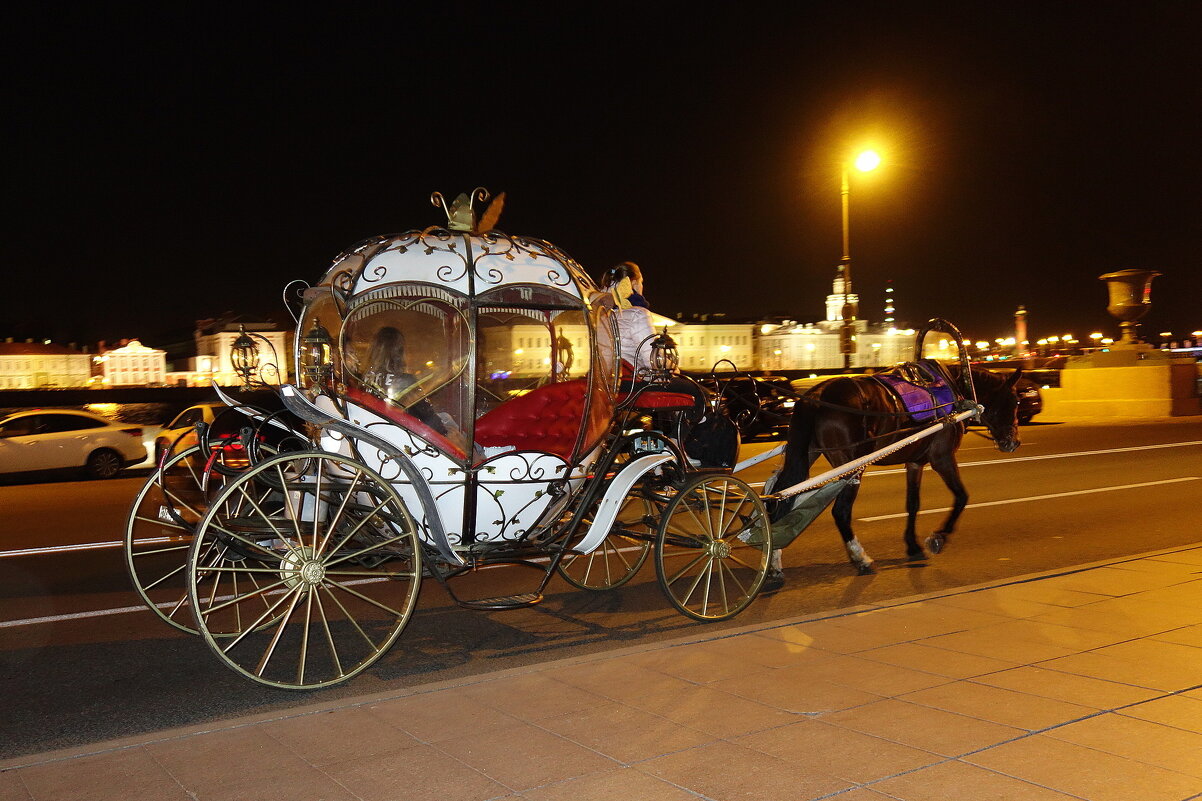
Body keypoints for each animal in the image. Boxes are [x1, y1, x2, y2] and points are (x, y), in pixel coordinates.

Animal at [774, 360, 1019, 574]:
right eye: (1015, 401)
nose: (1013, 443)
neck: (957, 392)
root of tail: (816, 397)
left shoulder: (915, 462)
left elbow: (912, 503)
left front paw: (912, 545)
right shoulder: (942, 458)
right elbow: (961, 496)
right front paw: (938, 537)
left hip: (807, 454)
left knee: (780, 498)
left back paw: (774, 564)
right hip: (851, 466)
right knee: (840, 511)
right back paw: (861, 558)